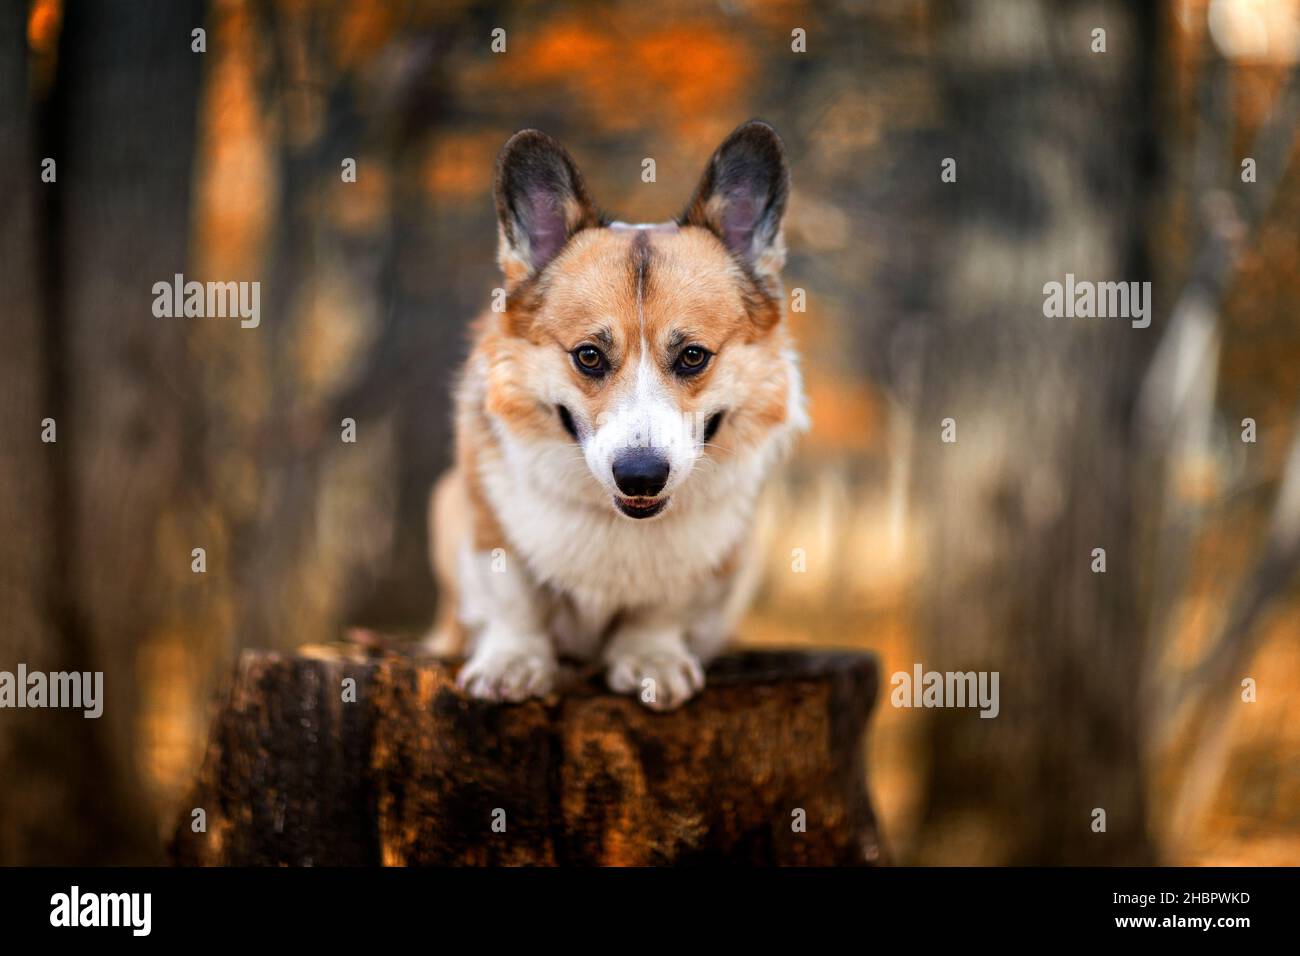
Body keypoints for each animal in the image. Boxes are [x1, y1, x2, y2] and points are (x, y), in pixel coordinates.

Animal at [426, 119, 806, 712]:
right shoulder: (486, 521)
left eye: (692, 356)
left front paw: (651, 660)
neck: (617, 519)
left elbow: (661, 608)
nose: (641, 476)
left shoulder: (703, 560)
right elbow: (513, 598)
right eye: (589, 356)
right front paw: (512, 663)